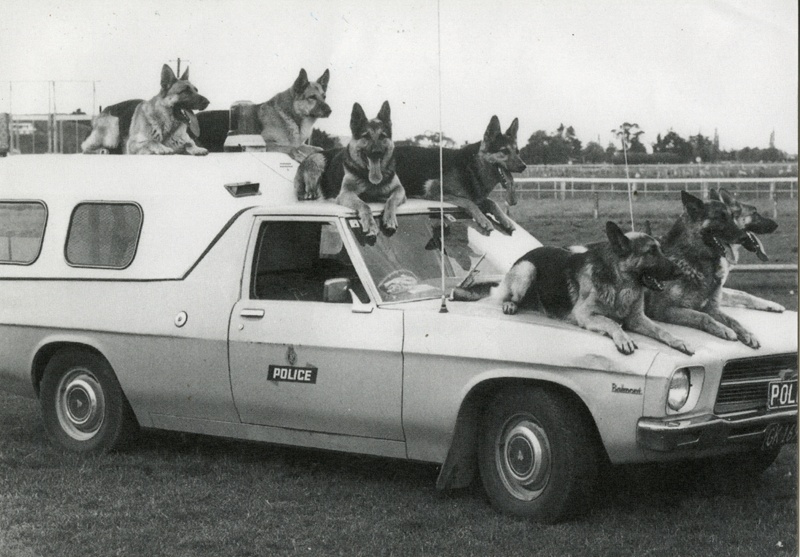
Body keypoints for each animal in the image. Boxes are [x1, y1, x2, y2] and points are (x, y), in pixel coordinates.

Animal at [195, 69, 332, 159]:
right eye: (312, 97)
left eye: (324, 97)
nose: (330, 111)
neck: (292, 118)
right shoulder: (267, 144)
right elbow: (292, 148)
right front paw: (300, 156)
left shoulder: (300, 144)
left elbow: (316, 148)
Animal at [294, 101, 406, 236]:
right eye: (366, 136)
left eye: (382, 136)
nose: (376, 152)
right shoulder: (346, 193)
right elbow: (364, 205)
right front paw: (370, 224)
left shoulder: (400, 190)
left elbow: (391, 201)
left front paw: (389, 219)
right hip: (318, 159)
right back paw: (311, 194)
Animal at [392, 115, 528, 232]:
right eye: (504, 151)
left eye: (517, 151)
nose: (523, 166)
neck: (472, 167)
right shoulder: (435, 191)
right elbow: (468, 202)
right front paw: (483, 219)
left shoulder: (478, 198)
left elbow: (492, 203)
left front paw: (505, 219)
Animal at [494, 220, 688, 354]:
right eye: (651, 252)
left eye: (661, 250)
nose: (681, 271)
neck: (619, 284)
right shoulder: (584, 314)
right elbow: (611, 322)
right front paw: (623, 338)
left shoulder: (637, 318)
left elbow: (661, 329)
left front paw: (677, 340)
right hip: (527, 270)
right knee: (506, 296)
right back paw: (509, 304)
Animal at [644, 191, 764, 348]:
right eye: (720, 217)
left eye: (732, 217)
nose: (745, 237)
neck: (695, 259)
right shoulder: (664, 309)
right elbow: (702, 316)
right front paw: (723, 329)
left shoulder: (712, 308)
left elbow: (733, 320)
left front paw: (747, 333)